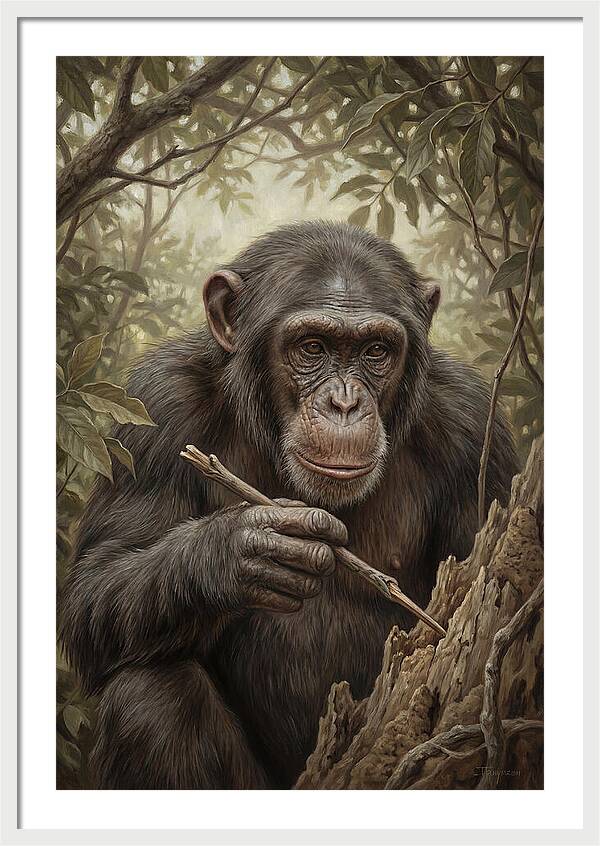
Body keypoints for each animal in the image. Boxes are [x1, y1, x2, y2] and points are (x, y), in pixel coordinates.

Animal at [59, 221, 518, 789]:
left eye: (376, 352)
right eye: (312, 347)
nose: (344, 403)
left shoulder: (475, 429)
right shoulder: (157, 405)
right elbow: (95, 587)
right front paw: (242, 551)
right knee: (149, 696)